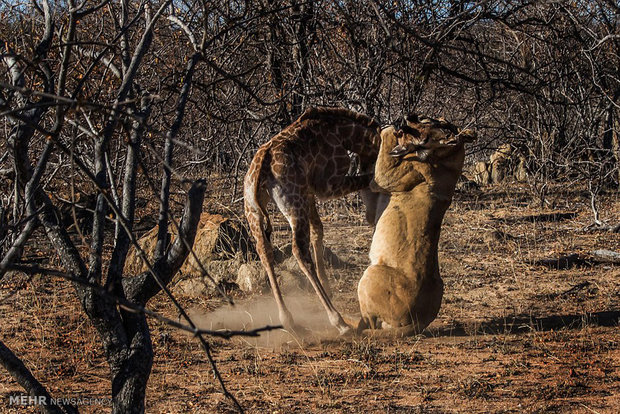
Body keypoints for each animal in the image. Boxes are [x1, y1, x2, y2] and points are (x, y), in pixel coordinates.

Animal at [243, 107, 380, 336]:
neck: (343, 133)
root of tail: (261, 166)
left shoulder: (308, 191)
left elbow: (318, 229)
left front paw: (327, 285)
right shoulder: (328, 185)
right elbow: (368, 178)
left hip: (253, 211)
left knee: (264, 251)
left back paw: (288, 320)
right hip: (293, 205)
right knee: (299, 251)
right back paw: (339, 322)